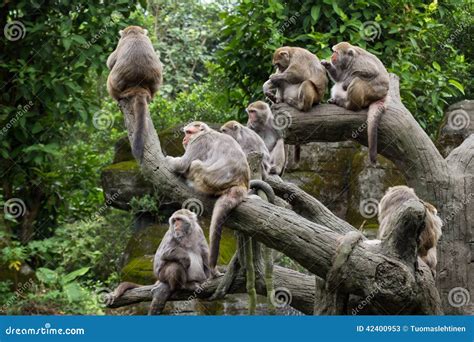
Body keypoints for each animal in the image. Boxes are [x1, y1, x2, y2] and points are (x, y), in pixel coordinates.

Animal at [165, 121, 250, 276]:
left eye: (189, 133)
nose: (184, 139)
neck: (205, 132)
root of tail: (240, 184)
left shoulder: (199, 143)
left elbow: (182, 164)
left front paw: (169, 159)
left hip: (209, 181)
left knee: (195, 164)